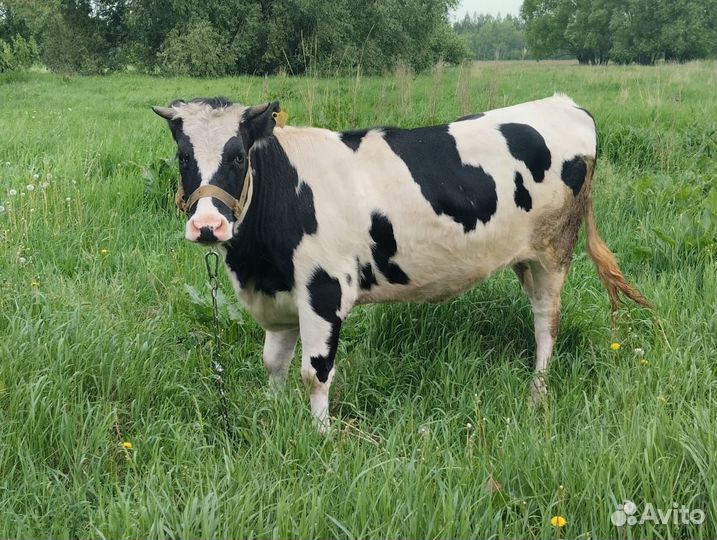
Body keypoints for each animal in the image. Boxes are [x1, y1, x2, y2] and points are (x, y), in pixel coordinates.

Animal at [153, 95, 651, 429]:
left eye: (238, 156)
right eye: (183, 157)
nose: (208, 226)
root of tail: (564, 103)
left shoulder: (324, 289)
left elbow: (315, 372)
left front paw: (319, 438)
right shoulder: (278, 294)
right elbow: (274, 363)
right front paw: (274, 417)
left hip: (553, 250)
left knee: (547, 322)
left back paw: (537, 394)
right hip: (526, 258)